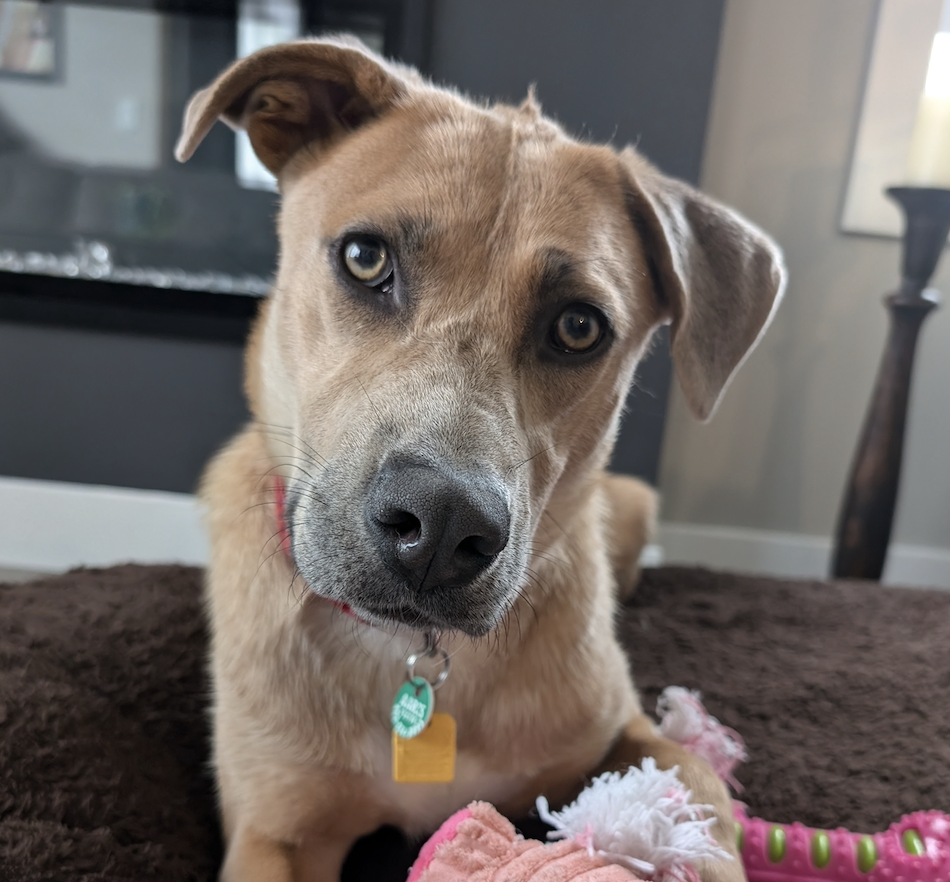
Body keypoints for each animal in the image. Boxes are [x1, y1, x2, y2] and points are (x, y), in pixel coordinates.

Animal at [176, 37, 785, 882]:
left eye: (578, 326)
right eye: (364, 258)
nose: (439, 526)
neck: (414, 659)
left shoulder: (621, 728)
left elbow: (689, 775)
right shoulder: (277, 829)